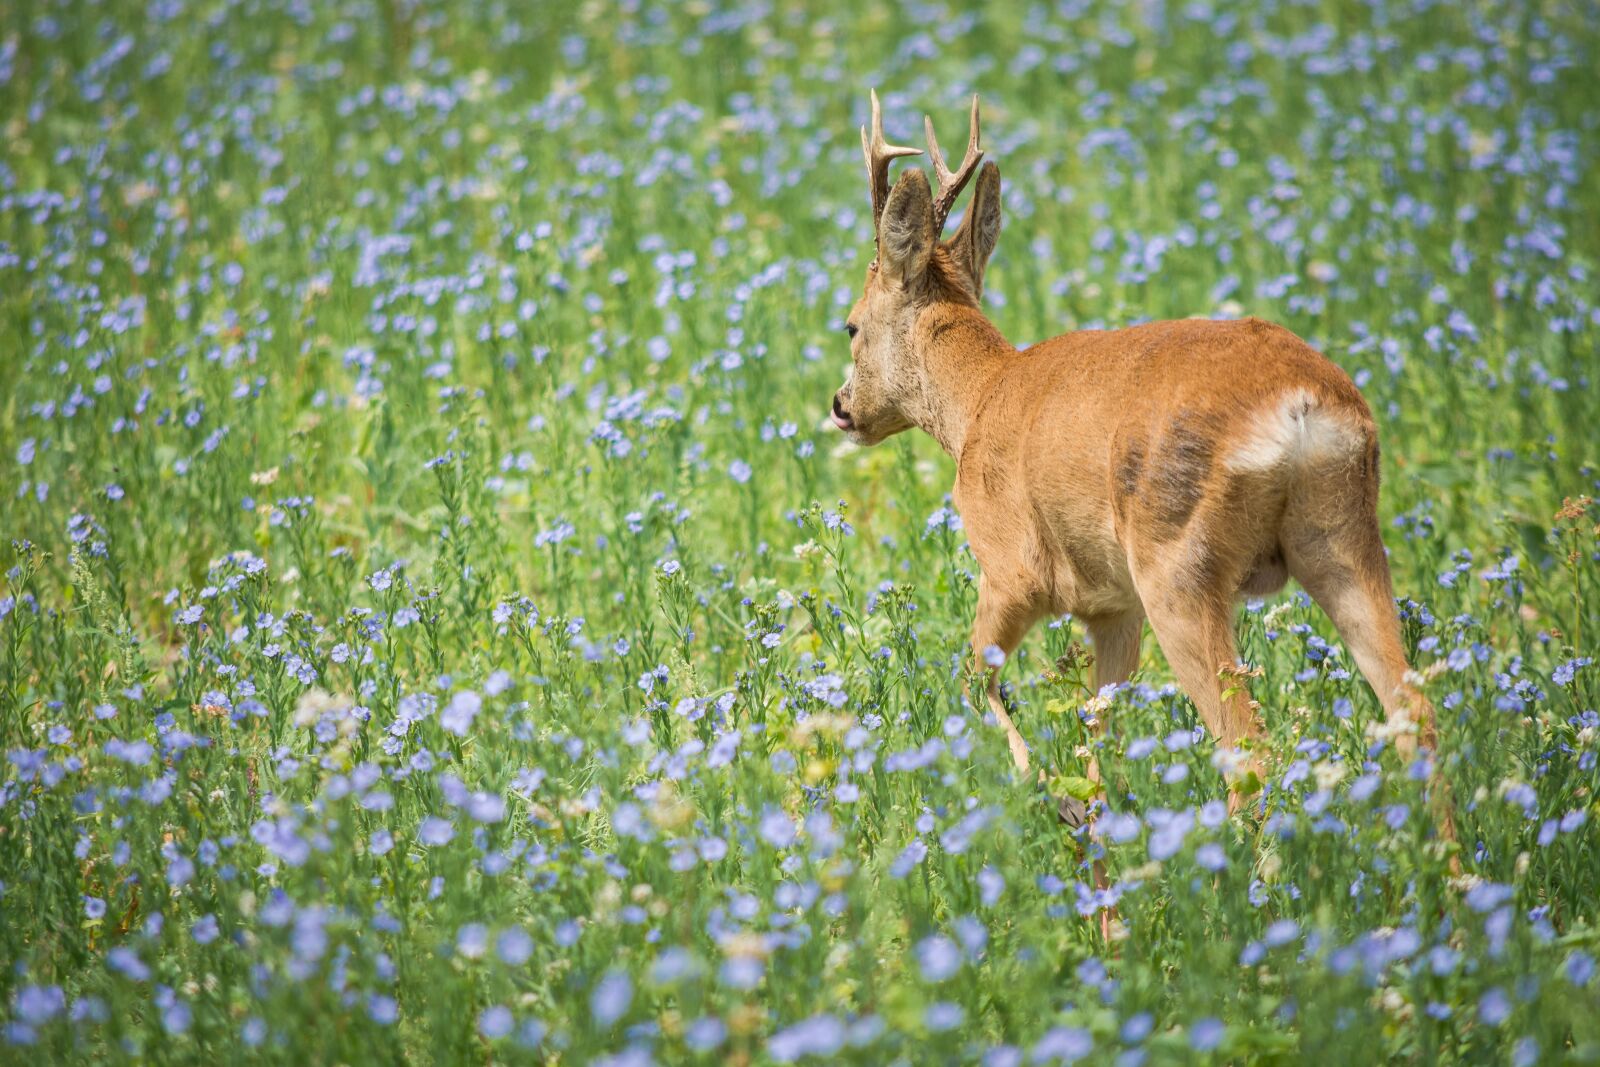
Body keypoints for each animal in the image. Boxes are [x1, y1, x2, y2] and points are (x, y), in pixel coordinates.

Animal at [832, 91, 1454, 845]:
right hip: (1342, 534)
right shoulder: (1112, 608)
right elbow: (1100, 747)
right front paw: (1092, 839)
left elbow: (974, 682)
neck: (977, 404)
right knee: (1413, 710)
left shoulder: (1011, 566)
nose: (842, 406)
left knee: (1251, 751)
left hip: (1178, 561)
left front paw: (1055, 802)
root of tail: (1304, 408)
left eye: (851, 325)